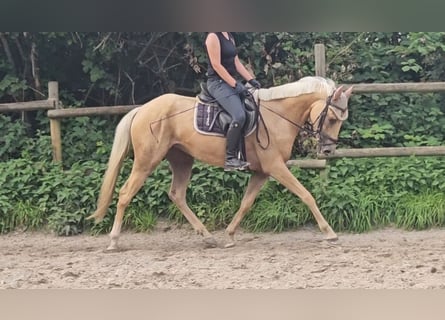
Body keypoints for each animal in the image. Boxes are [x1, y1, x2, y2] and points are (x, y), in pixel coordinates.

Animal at [86, 77, 350, 250]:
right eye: (332, 118)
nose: (328, 150)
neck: (278, 116)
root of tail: (142, 110)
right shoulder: (276, 167)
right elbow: (306, 195)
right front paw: (329, 233)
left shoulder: (262, 172)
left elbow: (246, 203)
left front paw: (230, 235)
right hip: (146, 161)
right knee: (125, 193)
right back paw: (114, 241)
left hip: (182, 160)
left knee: (177, 194)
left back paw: (207, 236)